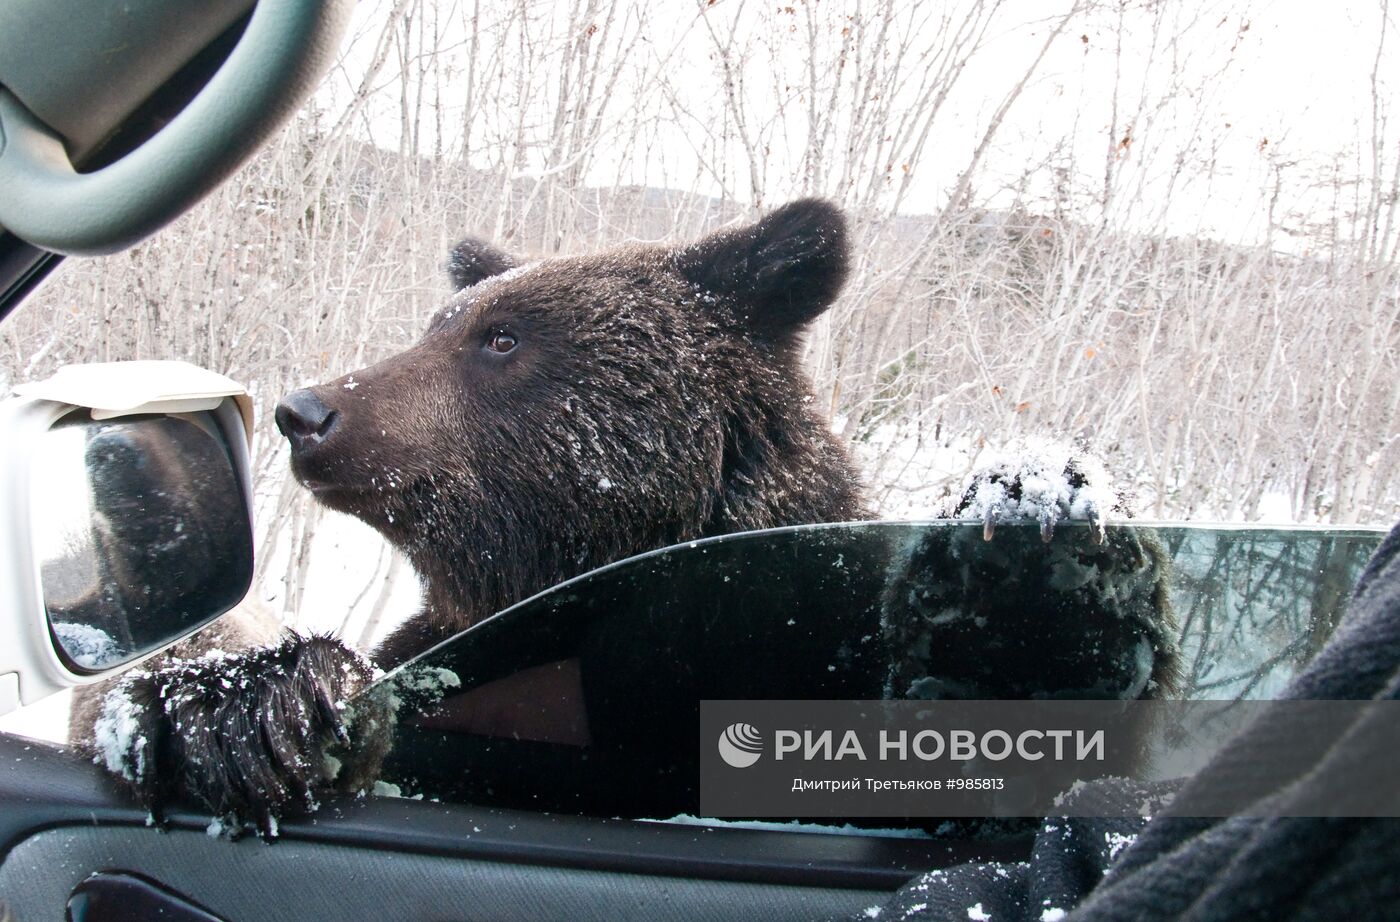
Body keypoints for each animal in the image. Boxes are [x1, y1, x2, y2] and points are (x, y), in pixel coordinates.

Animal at [84, 198, 1181, 833]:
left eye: (501, 337)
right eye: (443, 324)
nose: (308, 411)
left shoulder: (785, 644)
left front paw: (1031, 565)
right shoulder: (470, 669)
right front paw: (229, 710)